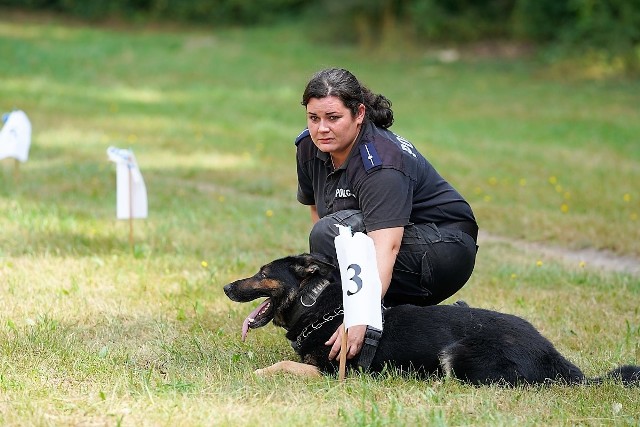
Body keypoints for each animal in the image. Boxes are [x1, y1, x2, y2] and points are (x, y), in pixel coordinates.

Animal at [224, 252, 640, 386]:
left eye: (263, 272)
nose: (227, 287)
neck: (323, 307)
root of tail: (554, 357)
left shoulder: (336, 373)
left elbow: (285, 365)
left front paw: (257, 373)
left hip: (457, 355)